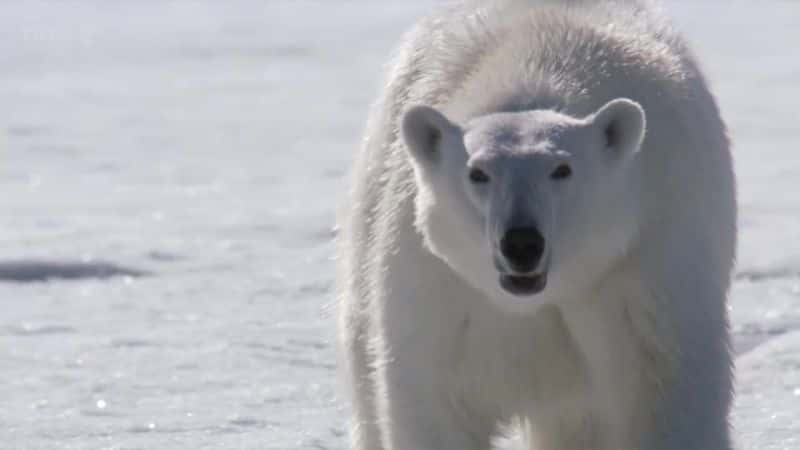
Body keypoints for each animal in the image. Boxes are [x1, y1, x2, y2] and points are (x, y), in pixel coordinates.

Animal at [334, 0, 736, 450]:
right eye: (478, 173)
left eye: (562, 169)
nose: (522, 243)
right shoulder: (437, 288)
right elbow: (435, 405)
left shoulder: (644, 264)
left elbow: (664, 391)